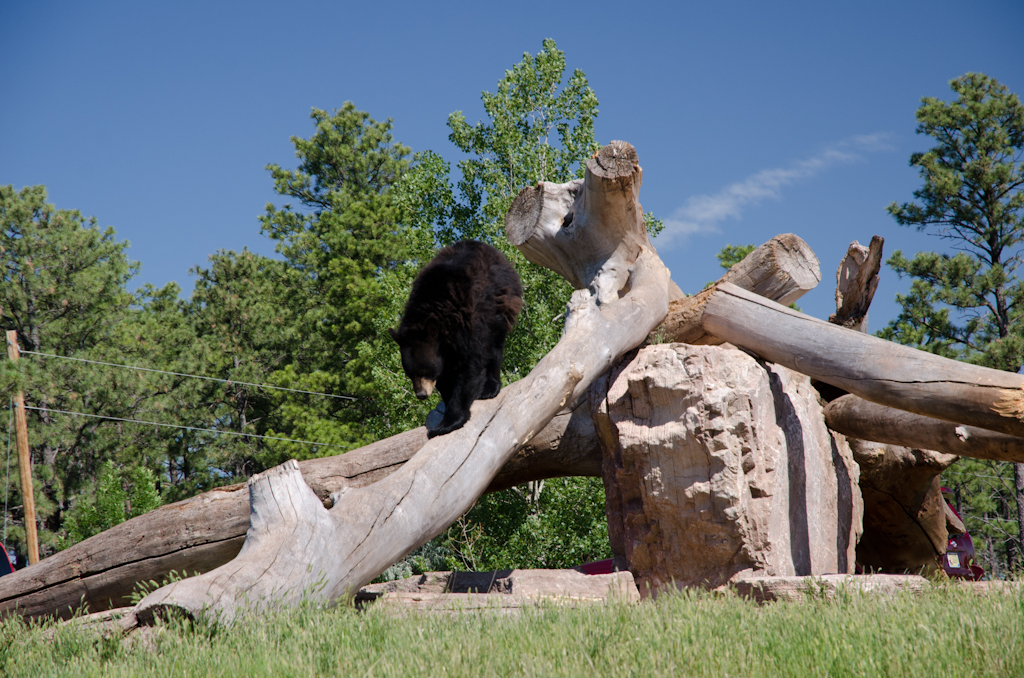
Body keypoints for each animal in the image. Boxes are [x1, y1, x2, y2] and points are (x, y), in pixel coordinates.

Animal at [389, 241, 524, 438]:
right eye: (409, 373)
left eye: (424, 370)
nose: (421, 394)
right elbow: (445, 378)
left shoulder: (469, 322)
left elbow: (469, 367)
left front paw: (448, 423)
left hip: (501, 301)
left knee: (495, 345)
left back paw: (490, 387)